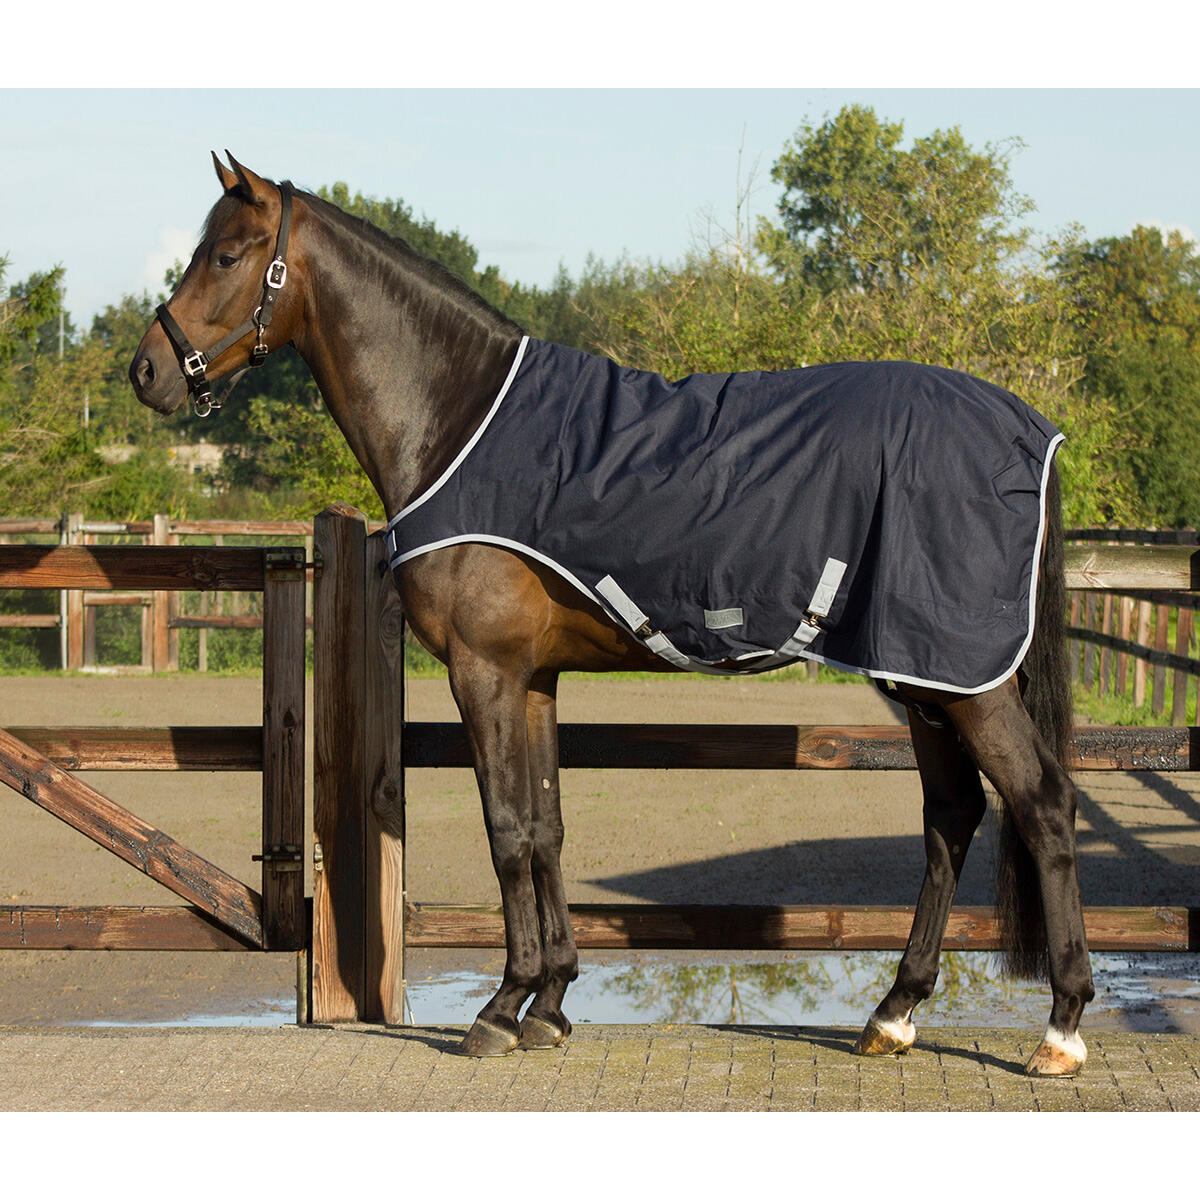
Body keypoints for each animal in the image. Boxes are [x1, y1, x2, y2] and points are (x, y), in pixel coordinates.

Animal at [129, 153, 1094, 1076]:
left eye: (225, 255)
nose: (145, 371)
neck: (458, 423)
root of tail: (1028, 429)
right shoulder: (534, 678)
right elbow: (548, 827)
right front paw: (551, 1004)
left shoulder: (483, 672)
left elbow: (506, 830)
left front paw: (499, 1009)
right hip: (921, 675)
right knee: (951, 816)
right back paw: (894, 1014)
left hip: (962, 680)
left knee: (1042, 802)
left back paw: (1061, 1030)